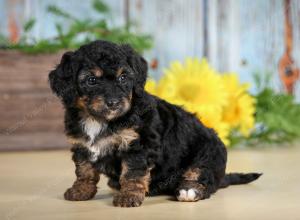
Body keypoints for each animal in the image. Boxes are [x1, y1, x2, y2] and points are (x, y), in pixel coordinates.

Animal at [48, 40, 262, 207]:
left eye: (123, 77)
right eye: (91, 80)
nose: (114, 103)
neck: (99, 119)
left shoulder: (137, 146)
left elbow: (132, 173)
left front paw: (128, 196)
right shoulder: (82, 145)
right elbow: (84, 170)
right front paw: (81, 191)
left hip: (207, 156)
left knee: (203, 178)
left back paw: (188, 191)